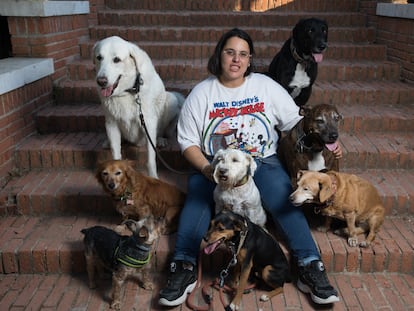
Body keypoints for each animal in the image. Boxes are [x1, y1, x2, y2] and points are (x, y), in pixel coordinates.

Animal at [94, 36, 185, 178]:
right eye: (99, 57)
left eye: (116, 60)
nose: (101, 81)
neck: (127, 91)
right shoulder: (111, 123)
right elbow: (116, 153)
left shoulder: (148, 122)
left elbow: (151, 158)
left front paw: (153, 177)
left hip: (171, 99)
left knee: (165, 131)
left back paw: (161, 140)